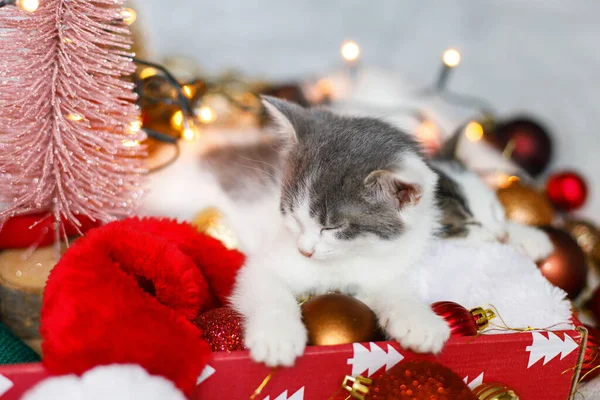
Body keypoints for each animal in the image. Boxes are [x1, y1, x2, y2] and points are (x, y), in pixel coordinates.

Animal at [230, 97, 450, 366]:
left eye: (332, 227)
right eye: (290, 213)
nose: (304, 251)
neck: (347, 257)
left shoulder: (389, 263)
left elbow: (392, 288)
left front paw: (418, 319)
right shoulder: (265, 262)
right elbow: (268, 288)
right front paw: (277, 336)